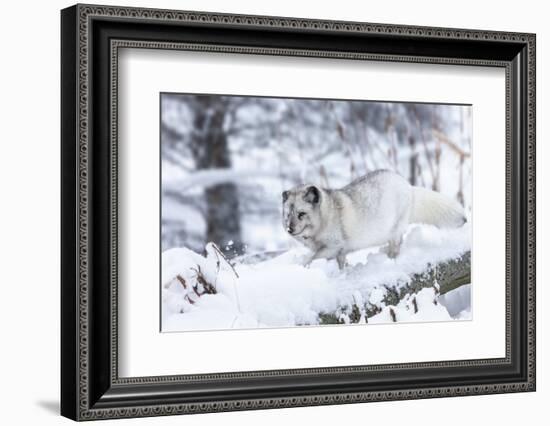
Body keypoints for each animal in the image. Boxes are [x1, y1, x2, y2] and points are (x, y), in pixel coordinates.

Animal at [282, 171, 468, 268]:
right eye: (288, 215)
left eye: (301, 214)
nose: (289, 229)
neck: (326, 217)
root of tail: (408, 186)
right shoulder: (340, 252)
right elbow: (341, 264)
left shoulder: (333, 246)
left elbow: (312, 258)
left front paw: (302, 267)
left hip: (395, 230)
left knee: (396, 245)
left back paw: (391, 259)